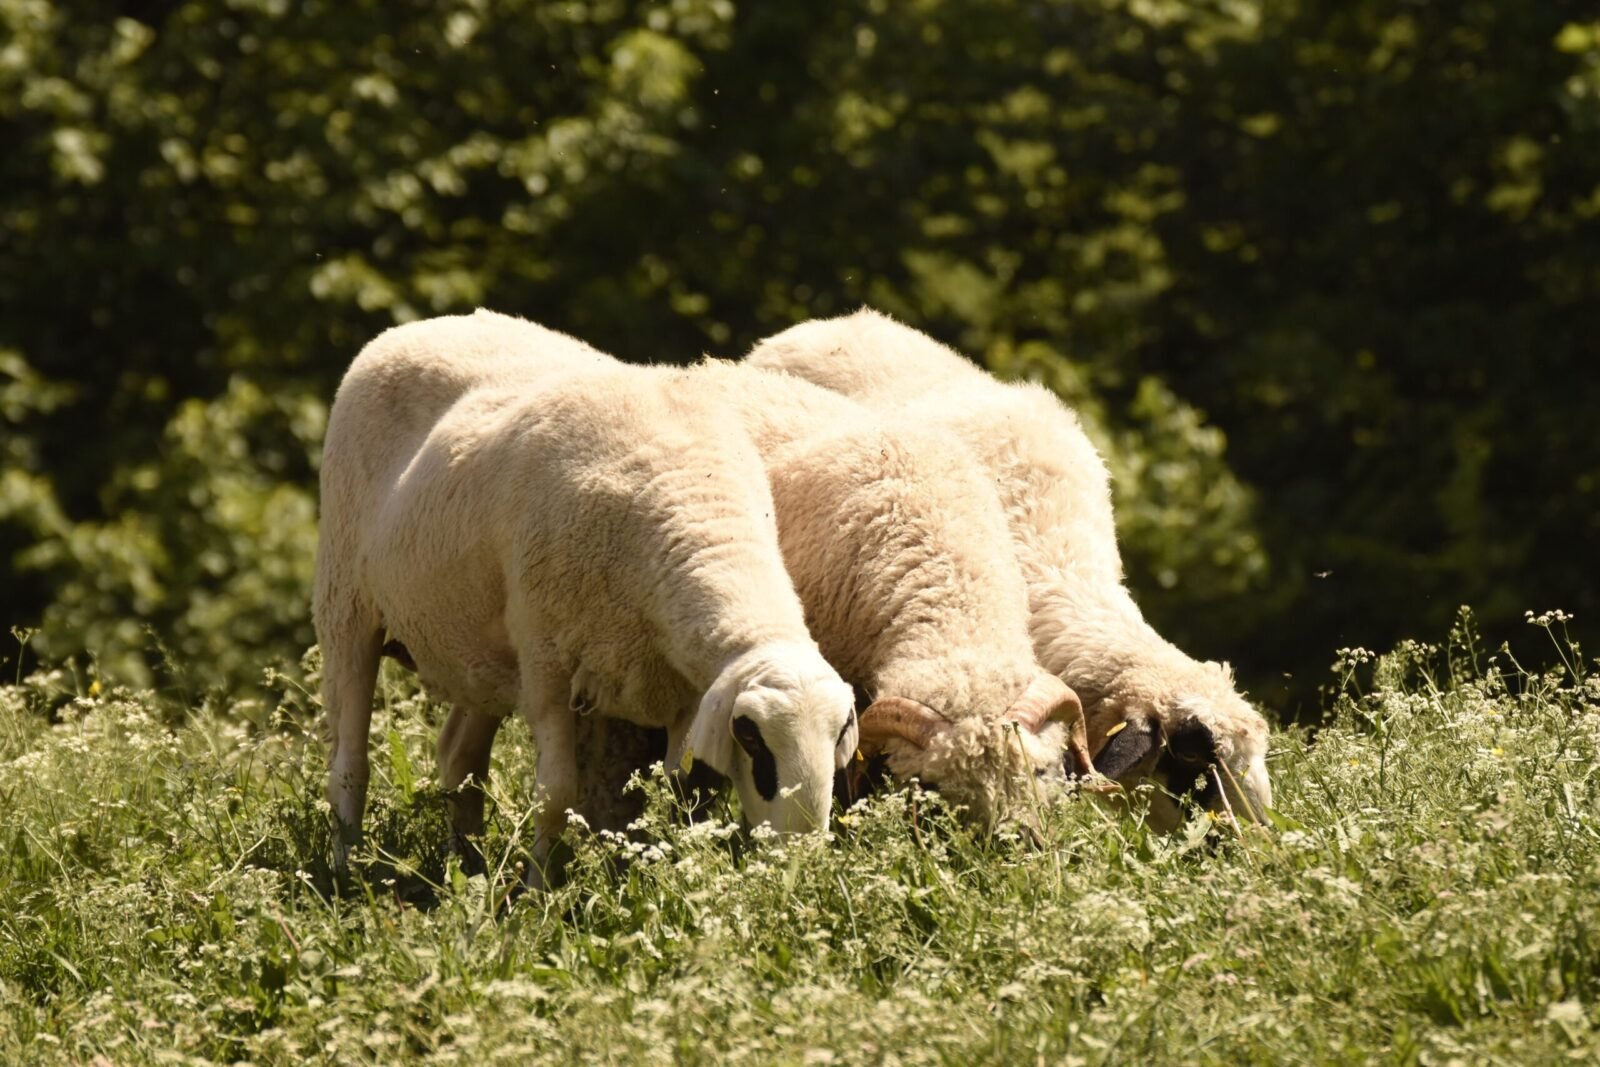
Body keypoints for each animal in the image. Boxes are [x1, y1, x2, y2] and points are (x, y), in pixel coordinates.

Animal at [313, 310, 858, 878]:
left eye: (841, 732)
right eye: (751, 737)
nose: (800, 860)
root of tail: (419, 327)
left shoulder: (681, 690)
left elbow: (678, 794)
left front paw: (655, 875)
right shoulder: (548, 665)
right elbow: (555, 795)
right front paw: (541, 886)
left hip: (481, 649)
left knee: (459, 756)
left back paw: (467, 865)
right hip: (345, 598)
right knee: (349, 763)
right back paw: (345, 869)